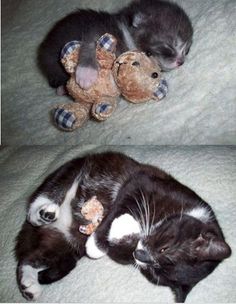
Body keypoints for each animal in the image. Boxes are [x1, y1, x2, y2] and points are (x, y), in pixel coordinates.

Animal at [15, 152, 231, 302]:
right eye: (165, 249)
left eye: (153, 272)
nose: (141, 255)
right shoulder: (144, 182)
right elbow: (116, 208)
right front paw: (97, 244)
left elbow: (120, 252)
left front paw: (125, 229)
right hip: (72, 169)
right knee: (48, 192)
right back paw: (44, 212)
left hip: (66, 246)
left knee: (31, 258)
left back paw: (29, 284)